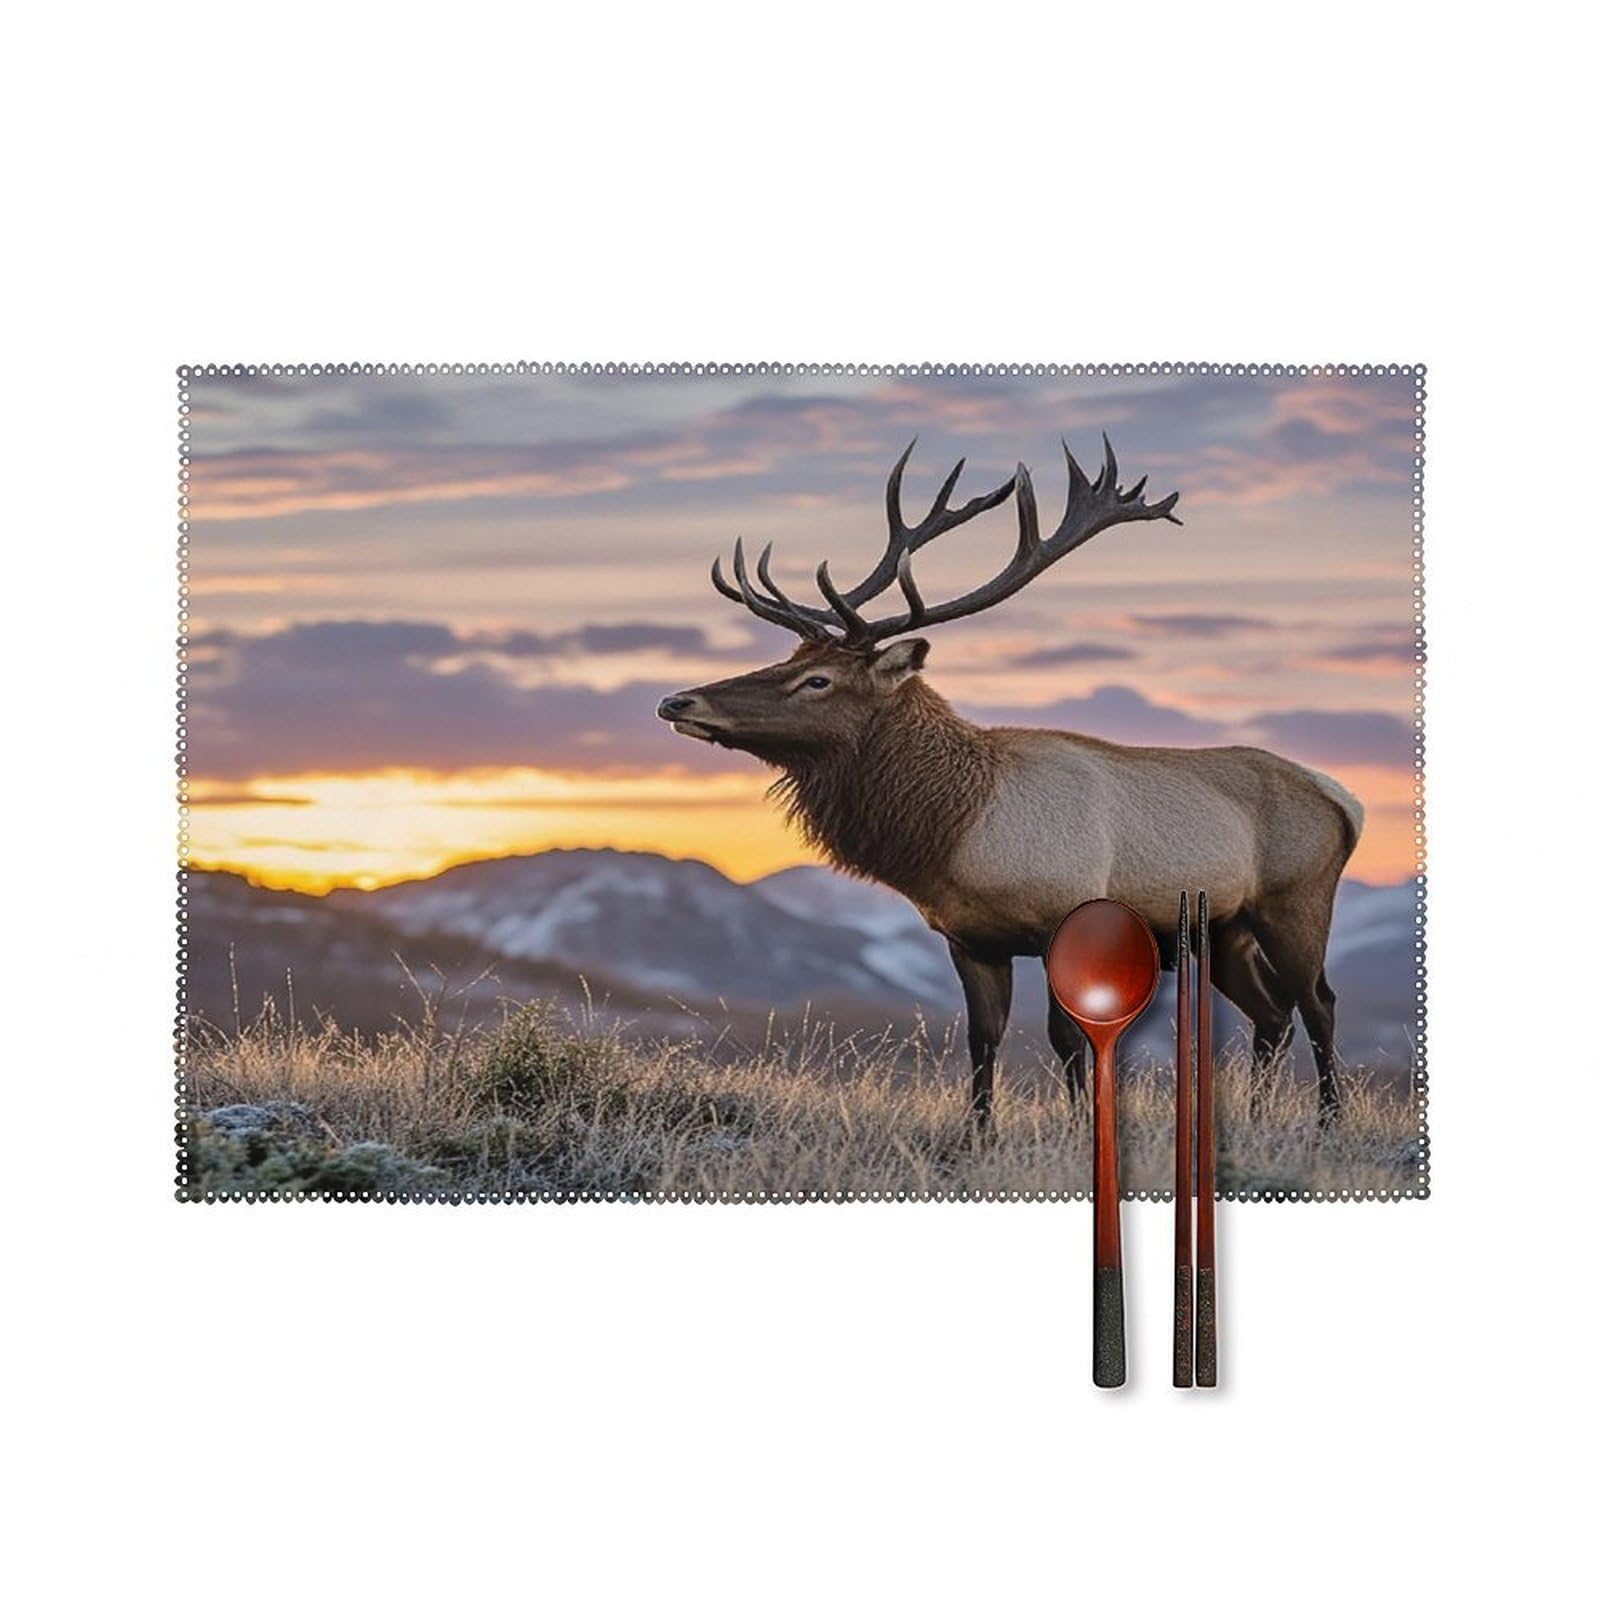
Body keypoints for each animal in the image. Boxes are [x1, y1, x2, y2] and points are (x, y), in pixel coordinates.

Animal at [656, 439, 1364, 1128]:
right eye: (788, 660)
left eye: (817, 681)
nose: (676, 701)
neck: (958, 835)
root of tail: (1344, 800)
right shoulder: (970, 940)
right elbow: (983, 1039)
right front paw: (978, 1136)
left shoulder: (1063, 919)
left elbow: (1066, 1038)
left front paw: (1080, 1131)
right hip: (1226, 928)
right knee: (1271, 1012)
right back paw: (1254, 1118)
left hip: (1296, 900)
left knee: (1319, 1001)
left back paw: (1329, 1121)